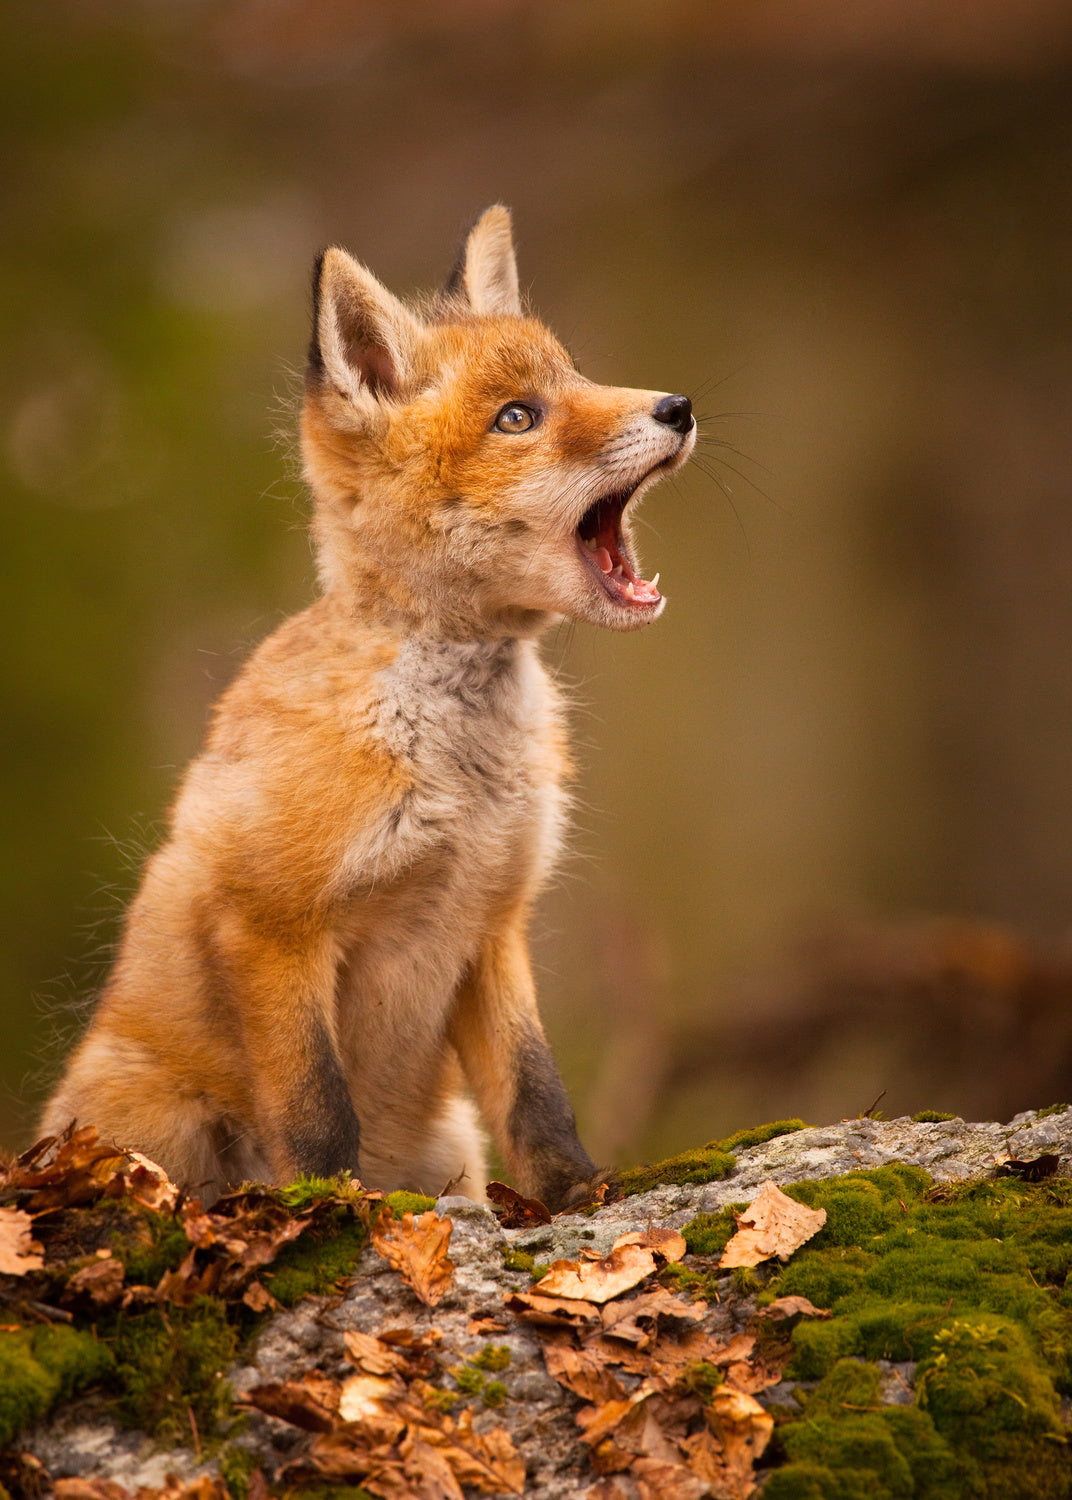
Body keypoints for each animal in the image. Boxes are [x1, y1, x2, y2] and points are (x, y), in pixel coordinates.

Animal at [40, 206, 696, 1210]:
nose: (678, 407)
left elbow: (537, 1095)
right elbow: (317, 1112)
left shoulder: (494, 922)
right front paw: (333, 1212)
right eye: (518, 417)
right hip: (156, 1124)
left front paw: (578, 1199)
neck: (461, 771)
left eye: (576, 378)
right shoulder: (273, 928)